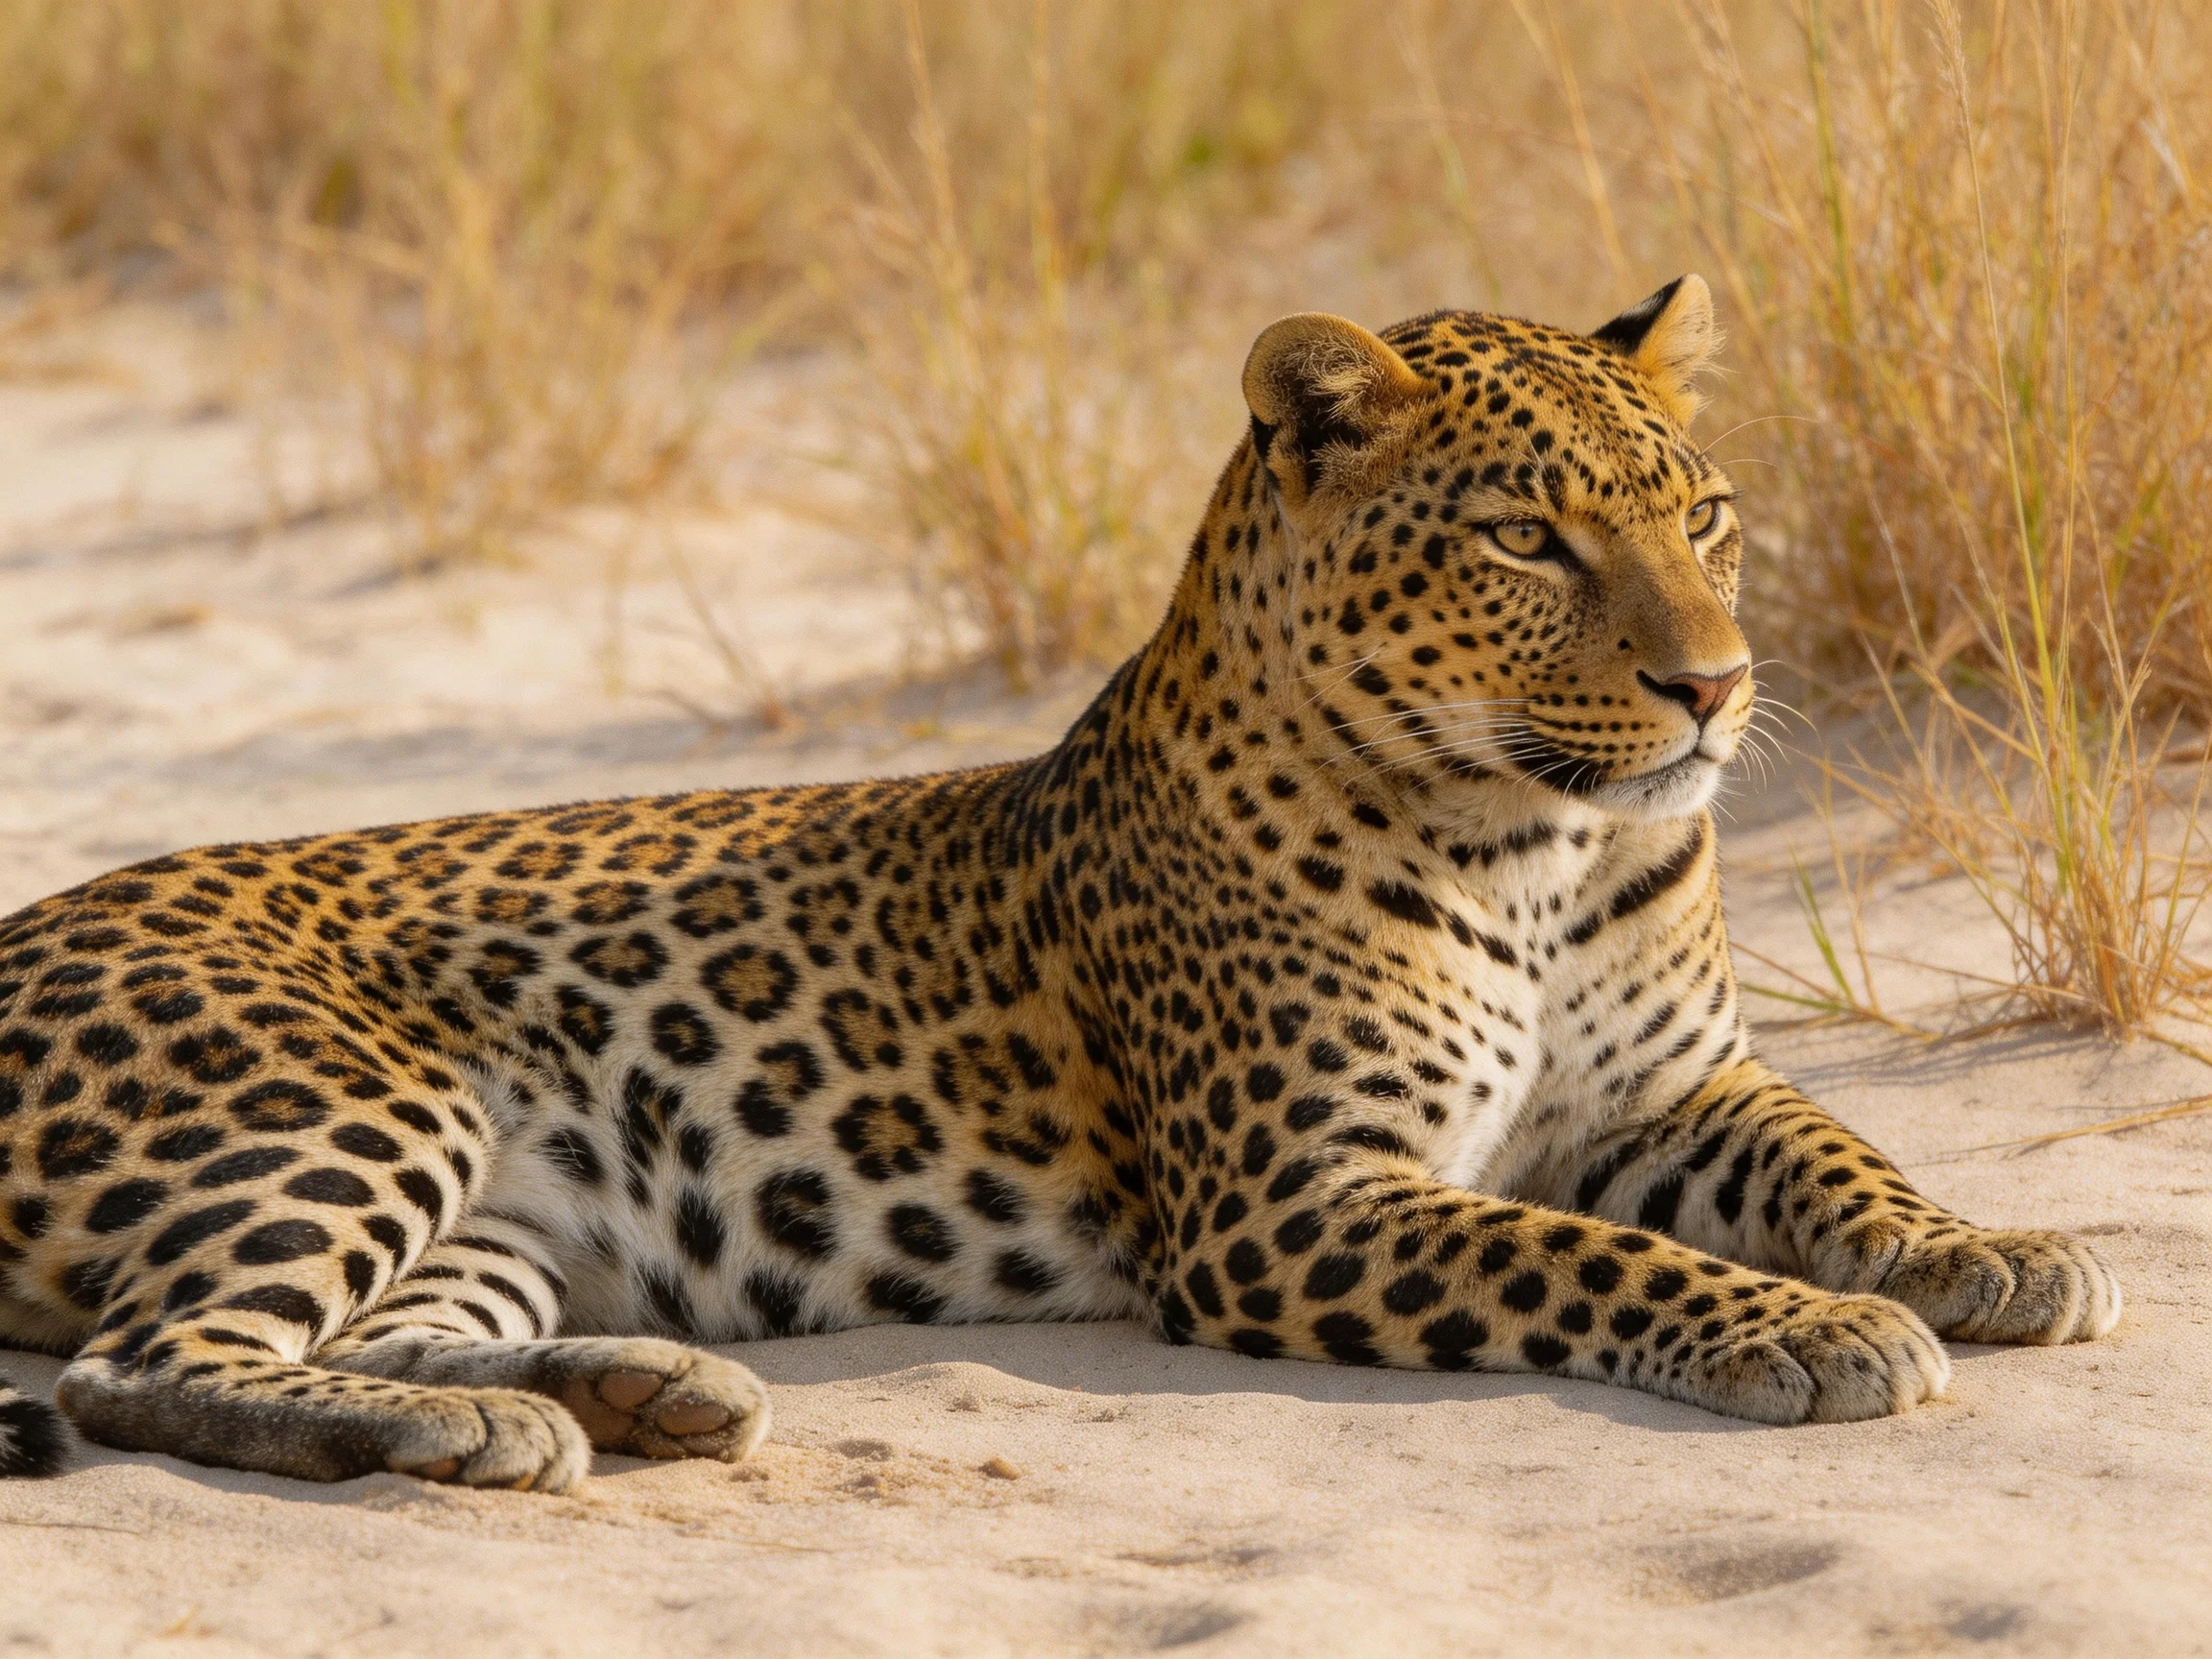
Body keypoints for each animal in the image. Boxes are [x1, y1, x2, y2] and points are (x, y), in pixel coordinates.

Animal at [0, 276, 2120, 1490]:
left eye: (1705, 517)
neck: (1545, 840)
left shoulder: (1684, 1089)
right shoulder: (1293, 1201)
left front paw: (1980, 1250)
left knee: (364, 1323)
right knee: (148, 1360)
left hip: (514, 1203)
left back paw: (640, 1391)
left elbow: (1838, 1153)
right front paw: (1810, 1332)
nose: (1719, 687)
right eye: (1528, 539)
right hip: (348, 1100)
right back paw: (490, 1426)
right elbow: (1584, 1253)